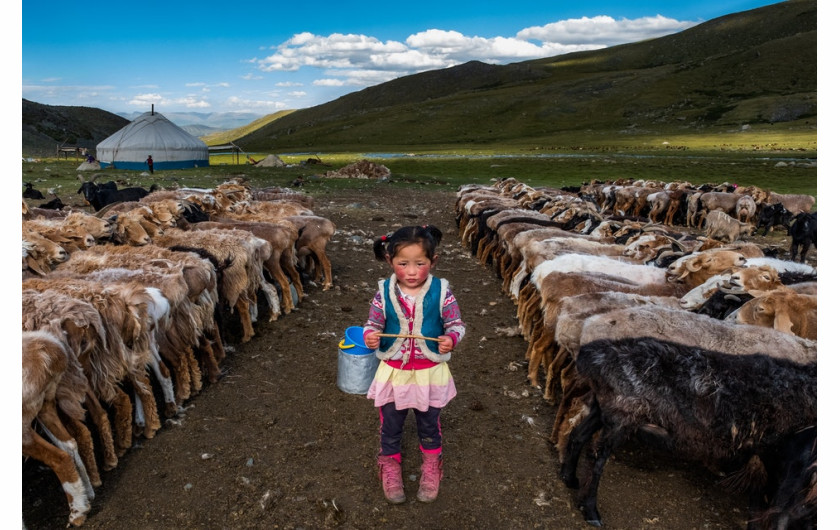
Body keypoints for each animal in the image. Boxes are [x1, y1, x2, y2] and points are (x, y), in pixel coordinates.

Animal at [560, 336, 816, 524]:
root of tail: (593, 355)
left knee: (578, 436)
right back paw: (591, 512)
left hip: (604, 407)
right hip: (622, 414)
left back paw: (569, 478)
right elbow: (777, 507)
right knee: (596, 459)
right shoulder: (785, 457)